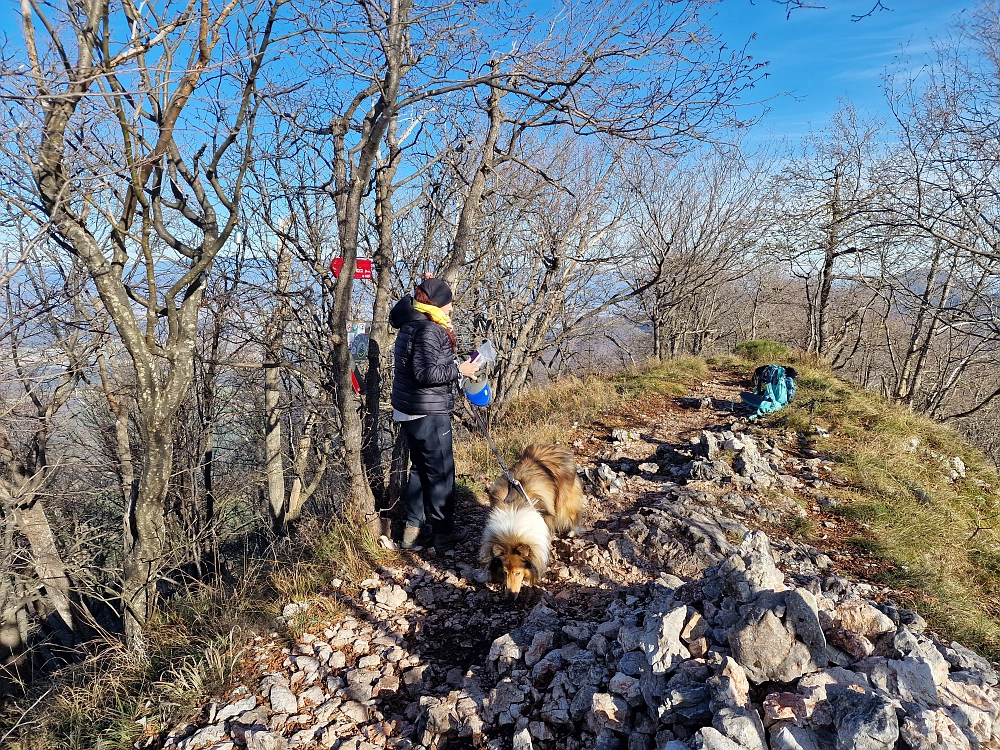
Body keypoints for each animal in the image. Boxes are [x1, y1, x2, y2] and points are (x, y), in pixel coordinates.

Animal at [478, 446, 584, 600]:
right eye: (504, 572)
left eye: (517, 572)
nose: (510, 598)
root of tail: (557, 447)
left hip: (565, 500)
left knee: (574, 513)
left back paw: (573, 531)